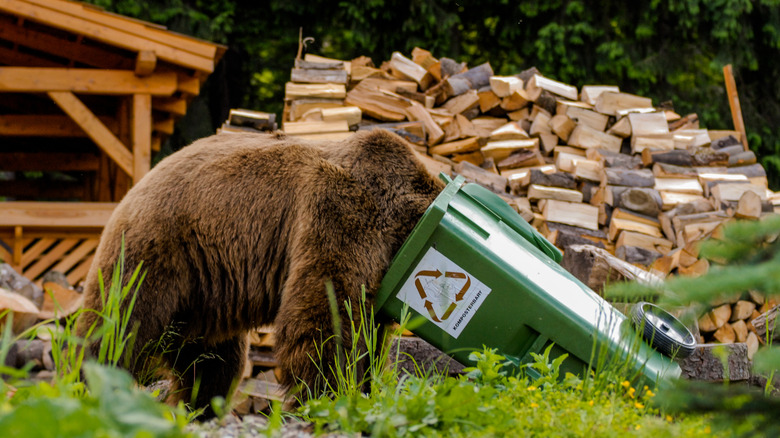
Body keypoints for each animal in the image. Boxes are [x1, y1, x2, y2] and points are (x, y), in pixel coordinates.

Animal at [80, 128, 444, 416]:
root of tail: (138, 184)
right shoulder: (340, 216)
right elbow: (326, 318)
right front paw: (330, 395)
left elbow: (368, 335)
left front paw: (364, 388)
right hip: (159, 251)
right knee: (118, 324)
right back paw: (90, 382)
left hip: (203, 290)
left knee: (212, 360)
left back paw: (198, 405)